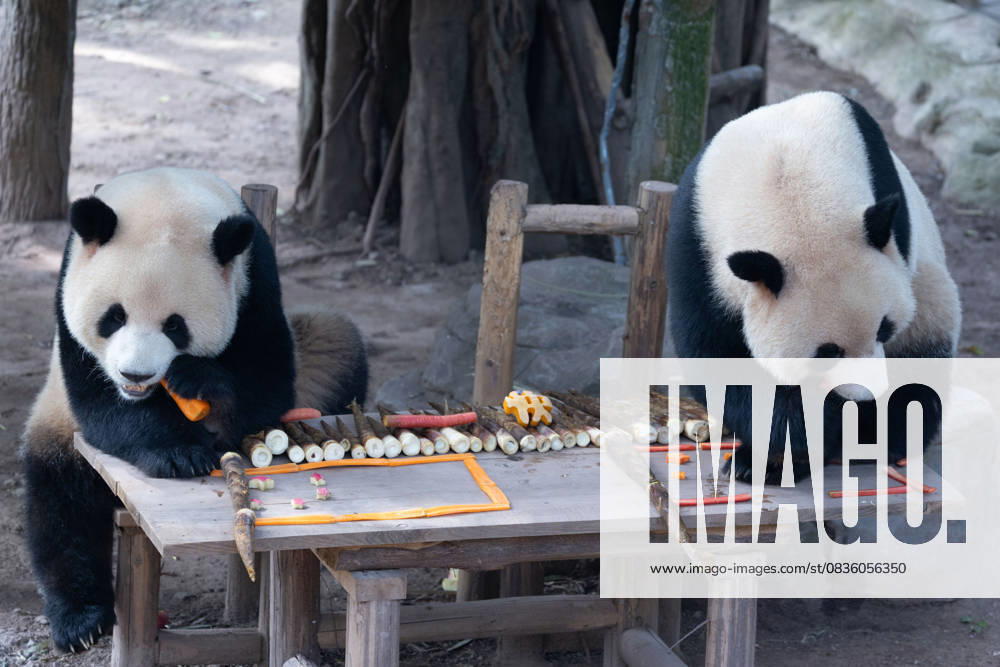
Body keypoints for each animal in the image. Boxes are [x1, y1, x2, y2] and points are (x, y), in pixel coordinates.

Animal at [21, 167, 368, 652]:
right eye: (114, 316)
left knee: (334, 340)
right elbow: (104, 407)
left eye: (175, 326)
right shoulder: (68, 303)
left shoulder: (254, 282)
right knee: (61, 499)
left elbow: (267, 390)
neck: (165, 194)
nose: (135, 374)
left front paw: (198, 382)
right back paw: (81, 620)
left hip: (320, 352)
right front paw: (178, 454)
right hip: (56, 419)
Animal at [667, 91, 961, 484]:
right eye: (827, 352)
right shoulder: (697, 246)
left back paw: (880, 438)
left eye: (884, 328)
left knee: (922, 363)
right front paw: (790, 445)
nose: (866, 395)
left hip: (930, 297)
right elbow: (719, 355)